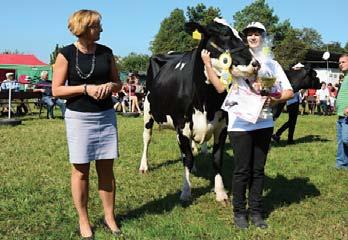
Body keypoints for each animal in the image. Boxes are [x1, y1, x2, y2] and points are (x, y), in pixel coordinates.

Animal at [138, 19, 256, 202]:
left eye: (242, 35)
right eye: (225, 34)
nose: (255, 64)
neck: (206, 101)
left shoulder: (222, 126)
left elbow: (216, 159)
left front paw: (221, 192)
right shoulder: (182, 127)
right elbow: (187, 158)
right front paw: (186, 192)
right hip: (147, 111)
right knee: (147, 138)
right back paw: (144, 166)